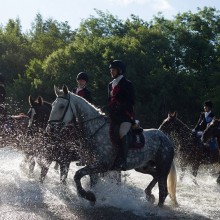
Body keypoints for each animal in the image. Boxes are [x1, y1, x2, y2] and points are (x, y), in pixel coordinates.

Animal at [46, 85, 177, 207]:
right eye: (52, 105)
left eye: (62, 106)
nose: (50, 129)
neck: (95, 130)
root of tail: (165, 137)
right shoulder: (92, 165)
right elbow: (91, 182)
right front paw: (92, 197)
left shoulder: (101, 165)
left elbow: (77, 175)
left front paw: (88, 196)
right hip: (143, 166)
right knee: (156, 175)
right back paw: (149, 194)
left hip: (163, 167)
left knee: (163, 191)